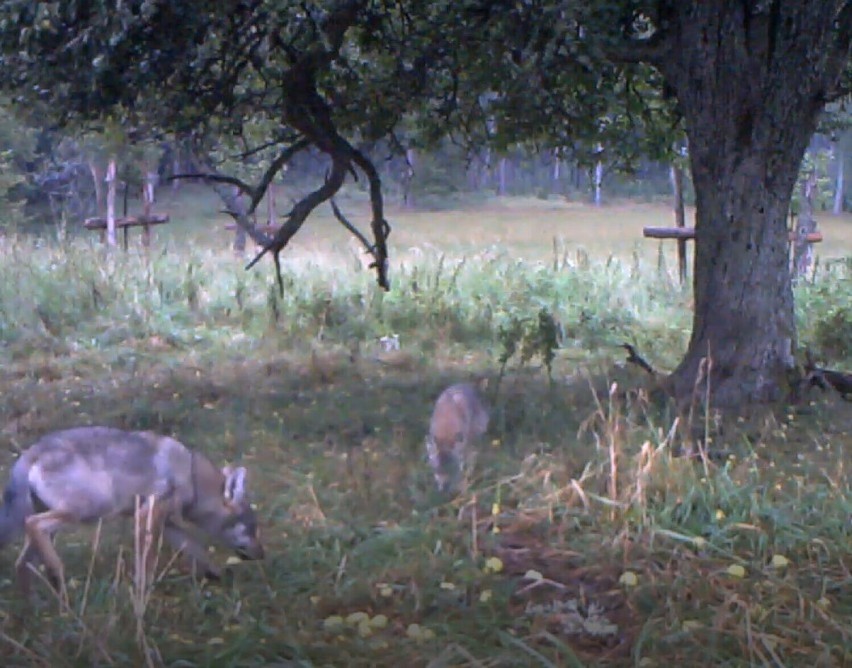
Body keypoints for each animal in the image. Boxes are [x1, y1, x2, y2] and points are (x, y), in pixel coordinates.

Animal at [0, 426, 262, 592]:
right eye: (252, 528)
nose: (262, 555)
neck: (191, 475)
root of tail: (30, 453)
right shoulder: (146, 517)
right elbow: (147, 562)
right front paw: (144, 593)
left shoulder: (167, 523)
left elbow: (197, 550)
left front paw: (217, 576)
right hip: (86, 511)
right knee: (34, 525)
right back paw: (56, 576)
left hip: (53, 528)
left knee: (21, 563)